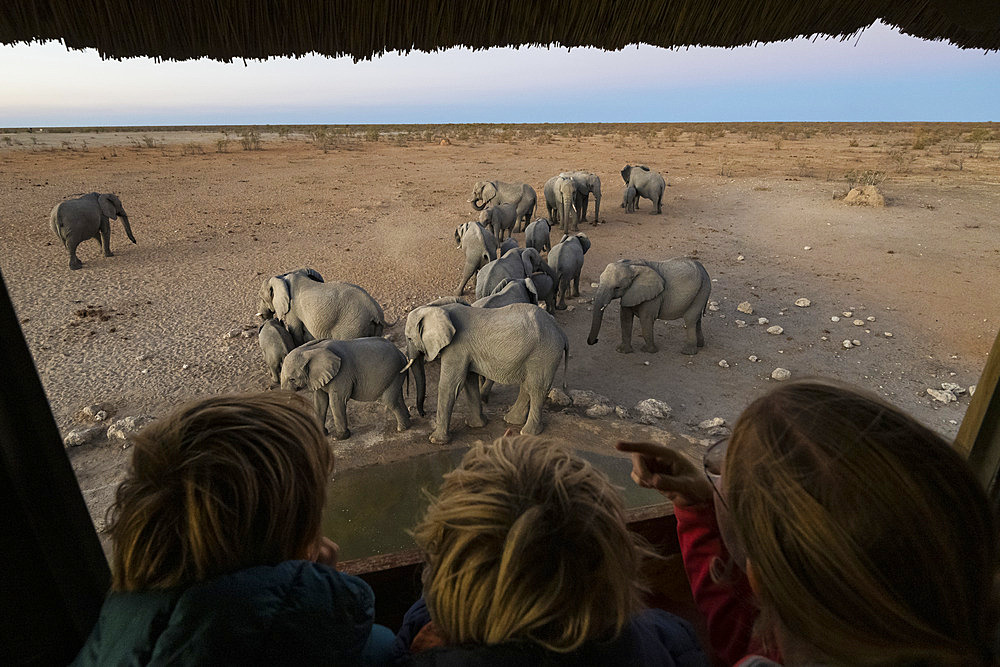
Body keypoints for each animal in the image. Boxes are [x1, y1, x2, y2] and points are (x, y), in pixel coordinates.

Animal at [256, 268, 384, 348]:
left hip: (353, 326)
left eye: (261, 298)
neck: (281, 277)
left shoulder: (292, 308)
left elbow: (295, 331)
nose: (264, 316)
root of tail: (375, 312)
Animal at [278, 336, 414, 440]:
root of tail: (402, 354)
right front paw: (322, 434)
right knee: (398, 396)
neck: (309, 349)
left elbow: (336, 401)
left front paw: (339, 438)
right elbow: (320, 402)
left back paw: (402, 429)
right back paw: (408, 419)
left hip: (392, 372)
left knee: (389, 401)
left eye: (292, 379)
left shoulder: (342, 373)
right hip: (396, 374)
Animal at [402, 302, 568, 444]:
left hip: (544, 353)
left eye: (409, 338)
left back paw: (528, 432)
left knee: (537, 388)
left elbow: (450, 384)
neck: (439, 308)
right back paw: (511, 420)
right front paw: (476, 425)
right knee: (528, 386)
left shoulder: (457, 347)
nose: (423, 414)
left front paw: (435, 440)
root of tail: (560, 330)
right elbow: (469, 381)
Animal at [584, 258, 712, 358]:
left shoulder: (653, 296)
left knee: (690, 319)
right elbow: (625, 318)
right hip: (702, 290)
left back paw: (687, 352)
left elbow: (646, 319)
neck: (632, 265)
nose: (595, 341)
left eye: (617, 287)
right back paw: (700, 345)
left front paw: (648, 351)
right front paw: (622, 351)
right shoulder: (630, 293)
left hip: (703, 289)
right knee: (697, 319)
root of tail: (703, 269)